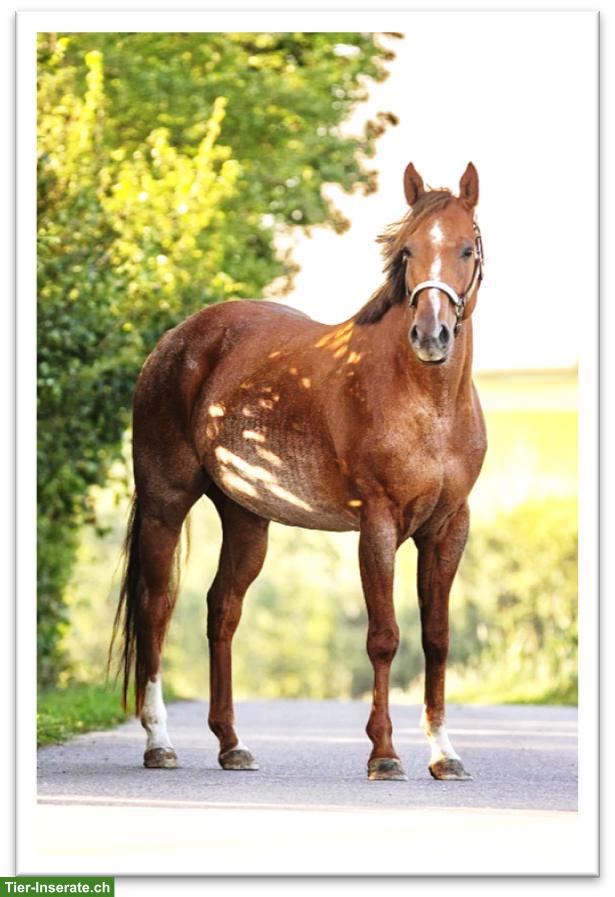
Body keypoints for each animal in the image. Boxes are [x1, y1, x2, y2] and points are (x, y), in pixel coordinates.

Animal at [111, 161, 487, 782]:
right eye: (407, 251)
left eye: (466, 248)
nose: (431, 336)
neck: (427, 403)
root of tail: (176, 341)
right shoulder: (378, 526)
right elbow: (384, 637)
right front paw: (384, 755)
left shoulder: (448, 527)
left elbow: (436, 638)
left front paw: (445, 754)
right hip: (166, 503)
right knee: (156, 608)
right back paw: (159, 743)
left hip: (246, 518)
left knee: (223, 610)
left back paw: (232, 744)